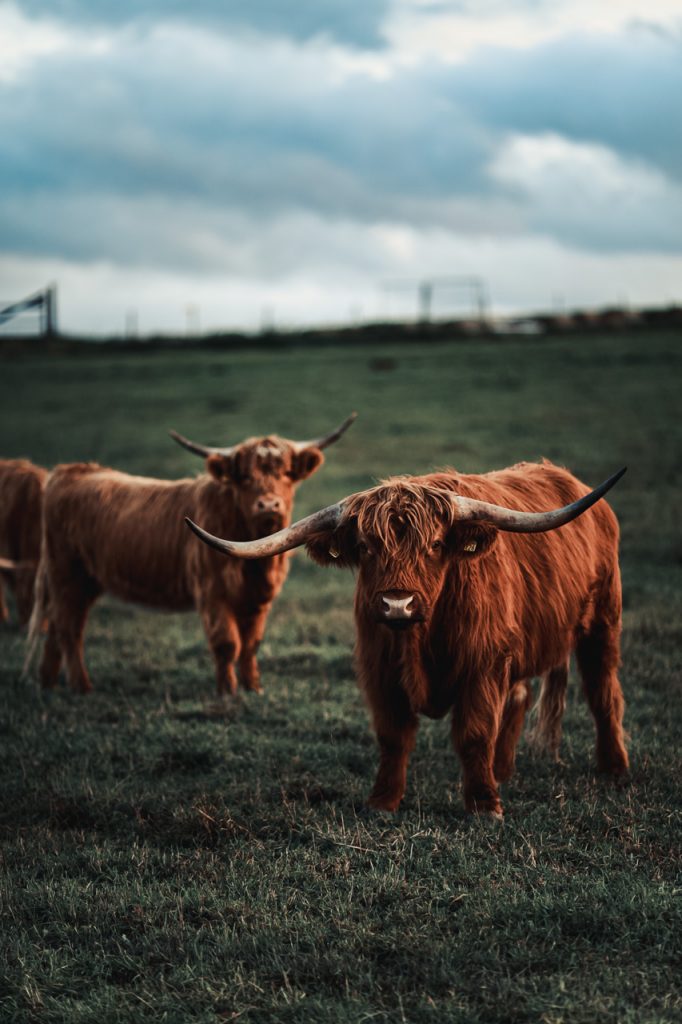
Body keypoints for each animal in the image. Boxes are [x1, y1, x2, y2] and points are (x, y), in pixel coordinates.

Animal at [25, 415, 356, 696]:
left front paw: (253, 688)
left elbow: (251, 644)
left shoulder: (259, 599)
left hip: (83, 580)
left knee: (57, 627)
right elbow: (227, 643)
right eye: (244, 477)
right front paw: (228, 692)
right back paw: (81, 686)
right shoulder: (212, 592)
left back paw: (47, 682)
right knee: (69, 628)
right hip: (67, 574)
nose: (268, 505)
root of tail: (68, 471)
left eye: (287, 474)